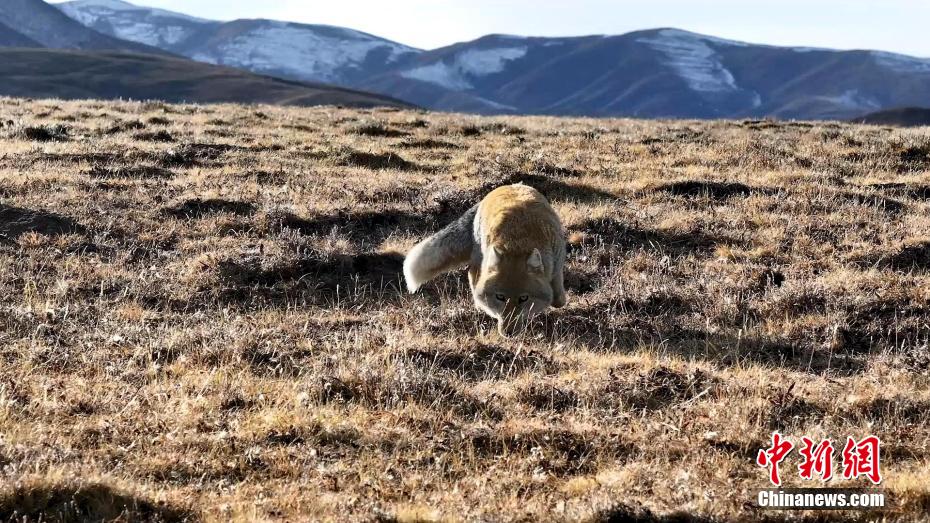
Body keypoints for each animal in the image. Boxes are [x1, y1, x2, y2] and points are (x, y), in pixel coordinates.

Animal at [404, 183, 566, 336]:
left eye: (524, 298)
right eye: (500, 297)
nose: (508, 333)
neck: (518, 242)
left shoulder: (557, 264)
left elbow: (558, 298)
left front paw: (556, 299)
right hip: (480, 257)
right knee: (472, 275)